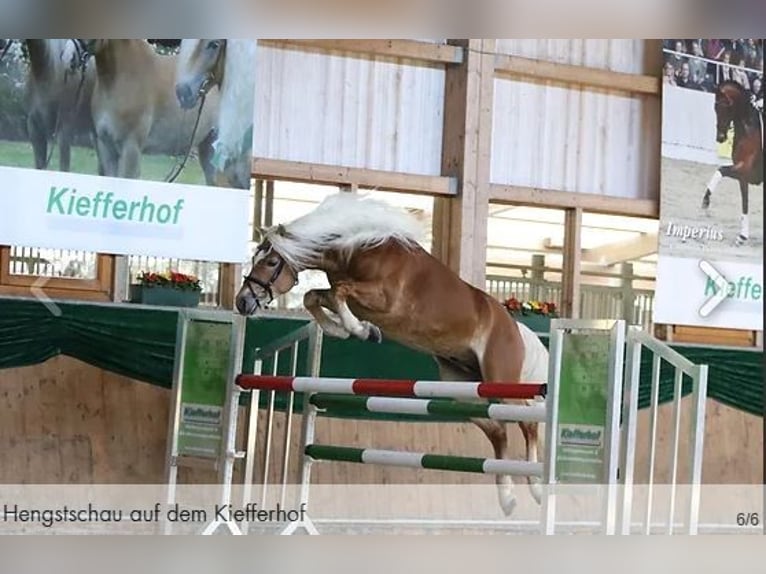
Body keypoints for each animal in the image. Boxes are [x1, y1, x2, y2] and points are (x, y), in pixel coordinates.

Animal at [236, 195, 552, 516]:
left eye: (271, 262)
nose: (243, 302)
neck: (358, 249)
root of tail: (514, 327)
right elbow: (316, 296)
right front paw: (352, 330)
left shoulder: (383, 299)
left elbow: (339, 292)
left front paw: (362, 331)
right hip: (462, 388)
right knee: (498, 430)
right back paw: (507, 498)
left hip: (502, 382)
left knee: (528, 423)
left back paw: (537, 489)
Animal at [704, 79, 764, 245]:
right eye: (715, 107)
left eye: (727, 106)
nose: (720, 137)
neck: (748, 130)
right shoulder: (743, 177)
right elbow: (745, 204)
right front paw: (743, 236)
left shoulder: (744, 169)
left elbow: (721, 170)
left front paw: (706, 200)